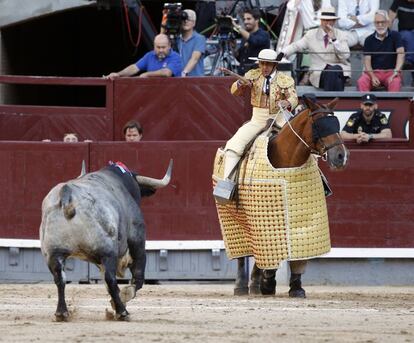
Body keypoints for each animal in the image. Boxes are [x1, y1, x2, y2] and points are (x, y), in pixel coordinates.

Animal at [39, 161, 172, 322]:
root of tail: (67, 193)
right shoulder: (137, 239)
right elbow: (138, 276)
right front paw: (124, 297)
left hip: (53, 252)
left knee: (60, 278)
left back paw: (62, 313)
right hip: (107, 251)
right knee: (110, 278)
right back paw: (122, 312)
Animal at [217, 97, 350, 298]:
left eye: (336, 124)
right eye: (318, 126)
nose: (341, 156)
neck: (289, 158)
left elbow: (297, 258)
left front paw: (295, 287)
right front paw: (268, 282)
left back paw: (256, 284)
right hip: (233, 217)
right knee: (242, 251)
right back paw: (241, 286)